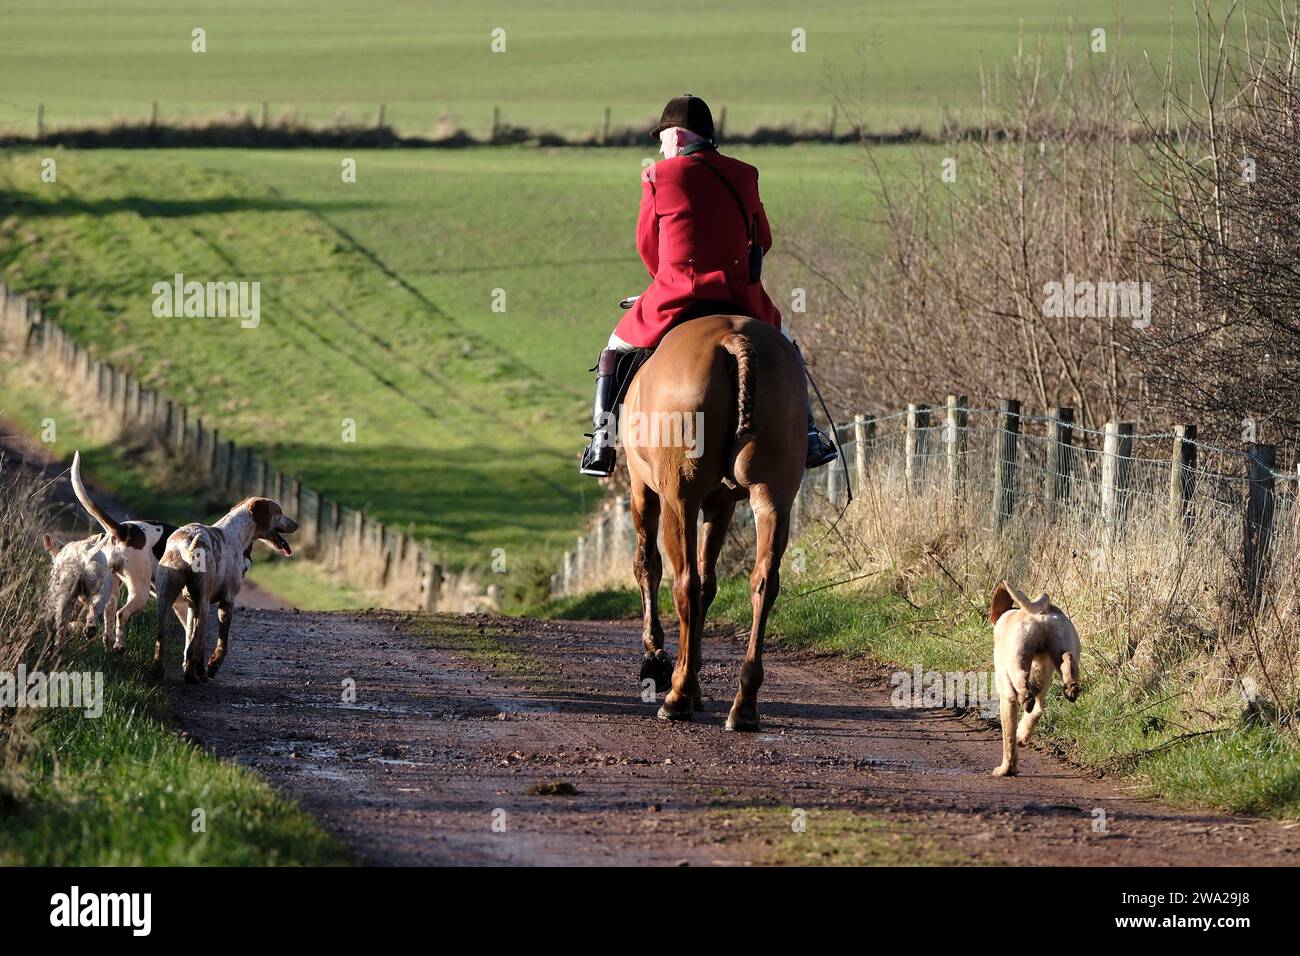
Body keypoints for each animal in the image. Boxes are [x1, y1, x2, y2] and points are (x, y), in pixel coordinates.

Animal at [618, 316, 800, 733]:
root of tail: (733, 337)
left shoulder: (643, 490)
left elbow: (648, 566)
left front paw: (656, 656)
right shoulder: (721, 505)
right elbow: (710, 584)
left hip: (678, 499)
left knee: (683, 581)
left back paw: (678, 695)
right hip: (773, 497)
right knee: (762, 583)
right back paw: (744, 704)